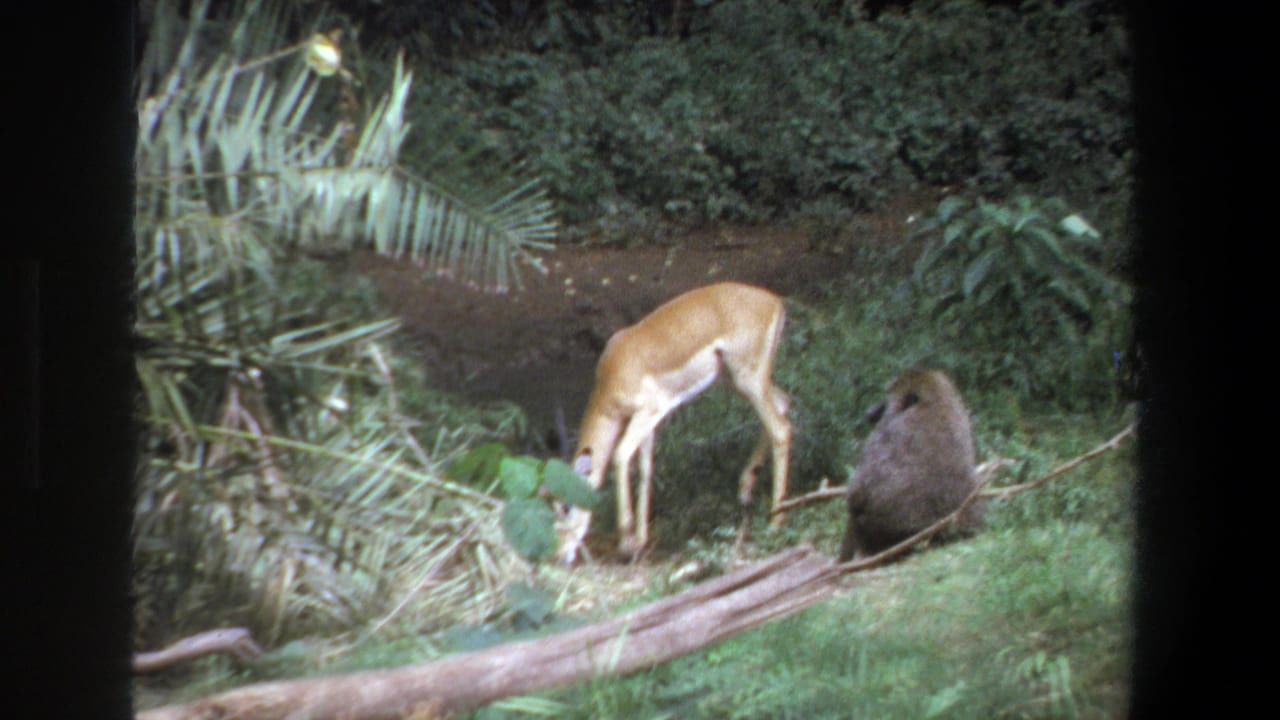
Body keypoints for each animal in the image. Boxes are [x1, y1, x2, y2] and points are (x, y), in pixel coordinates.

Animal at [559, 281, 792, 564]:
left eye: (565, 506)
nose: (559, 554)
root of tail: (774, 301)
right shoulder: (647, 422)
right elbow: (645, 468)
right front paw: (641, 540)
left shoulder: (648, 411)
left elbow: (621, 456)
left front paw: (627, 544)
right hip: (734, 381)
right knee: (783, 402)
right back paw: (746, 490)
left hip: (748, 379)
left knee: (781, 428)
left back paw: (776, 522)